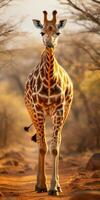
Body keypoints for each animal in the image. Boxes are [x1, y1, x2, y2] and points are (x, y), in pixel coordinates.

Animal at [24, 10, 72, 196]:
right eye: (42, 32)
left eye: (57, 32)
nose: (50, 44)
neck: (50, 82)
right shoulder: (37, 109)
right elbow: (43, 146)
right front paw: (41, 186)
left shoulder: (59, 109)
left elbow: (55, 147)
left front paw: (54, 188)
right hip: (34, 112)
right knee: (40, 141)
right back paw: (38, 185)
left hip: (64, 112)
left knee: (57, 140)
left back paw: (58, 185)